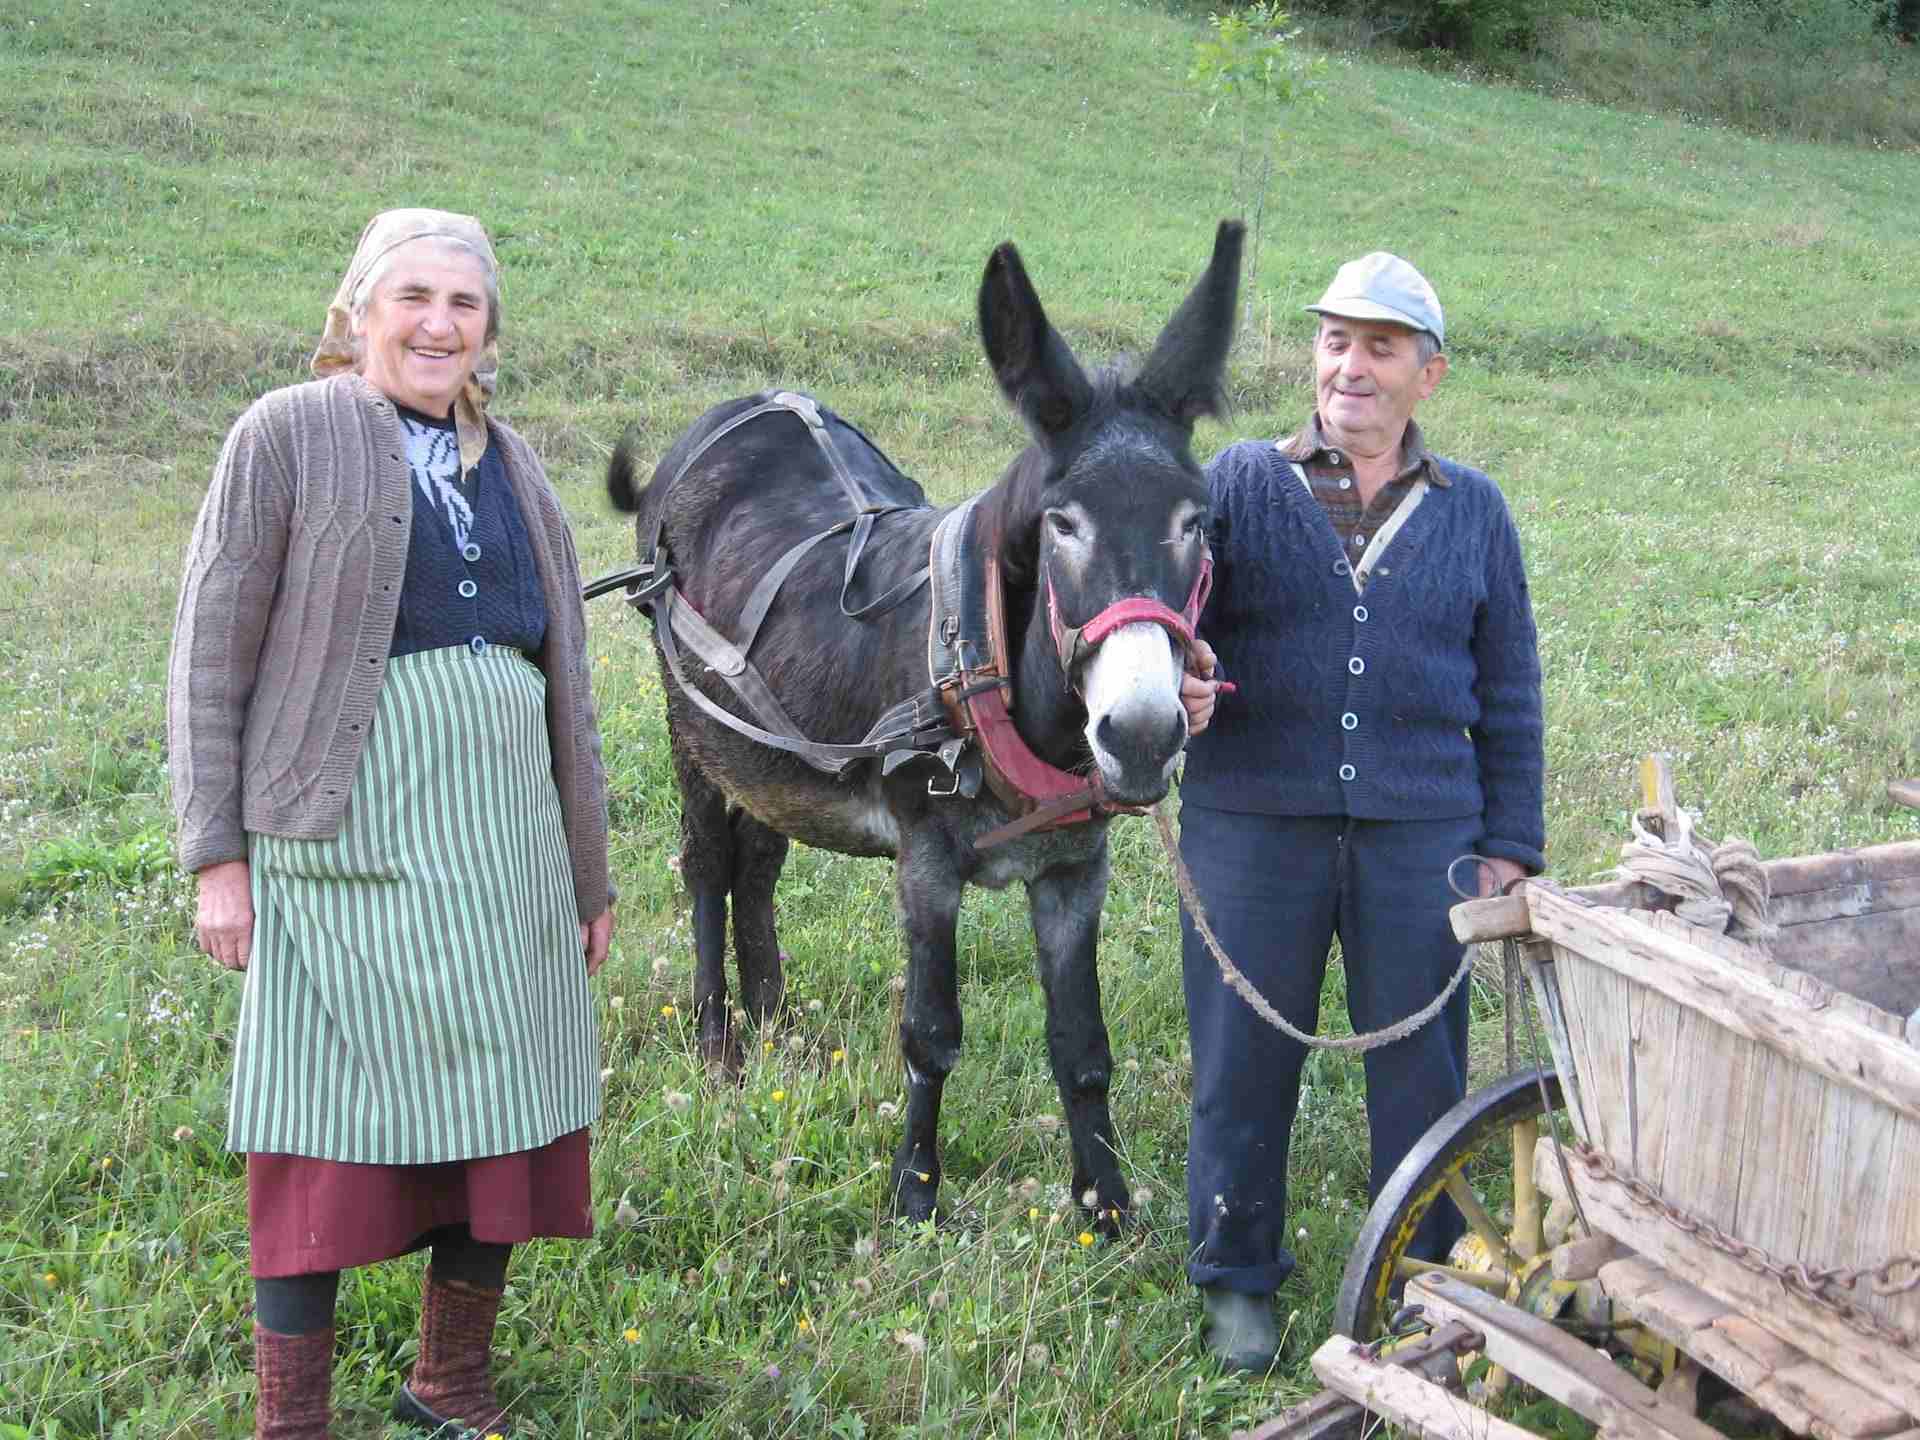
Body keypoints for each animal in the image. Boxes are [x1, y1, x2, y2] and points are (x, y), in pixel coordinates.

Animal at [606, 221, 1243, 1229]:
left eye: (1199, 521)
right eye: (1062, 524)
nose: (1143, 736)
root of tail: (742, 408)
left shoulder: (1074, 871)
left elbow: (1083, 1048)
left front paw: (1105, 1210)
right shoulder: (928, 866)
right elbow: (931, 1034)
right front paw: (914, 1194)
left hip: (775, 760)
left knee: (757, 866)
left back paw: (778, 1024)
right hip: (694, 730)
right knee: (707, 867)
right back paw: (720, 1047)